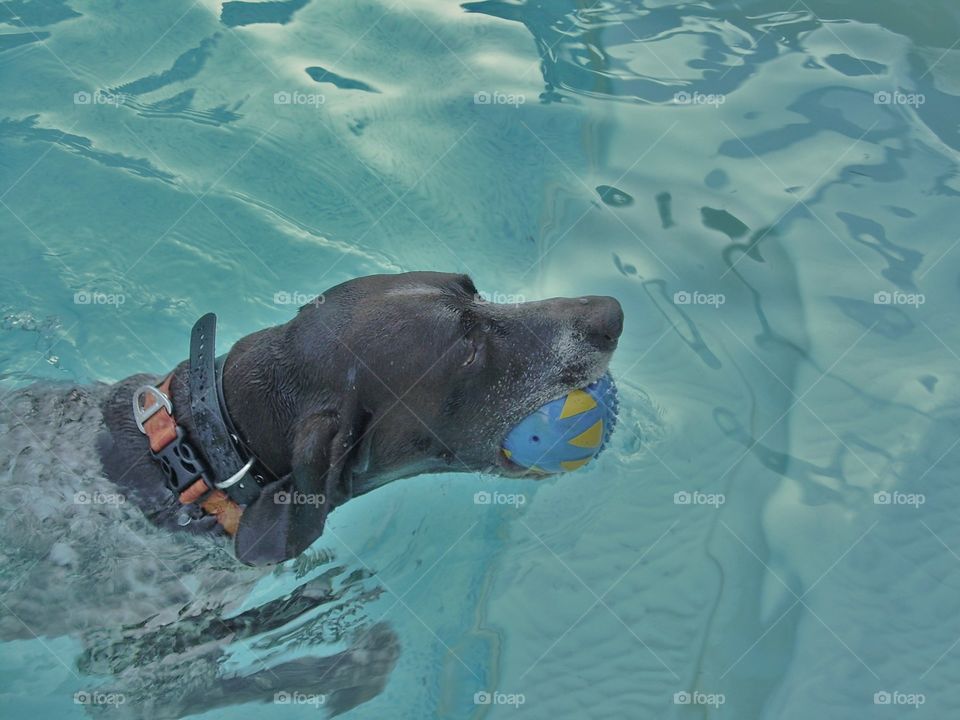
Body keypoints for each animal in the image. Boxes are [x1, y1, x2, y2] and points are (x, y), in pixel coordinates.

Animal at [0, 272, 624, 716]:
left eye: (472, 288)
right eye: (467, 350)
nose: (611, 314)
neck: (196, 458)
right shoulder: (144, 676)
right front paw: (356, 663)